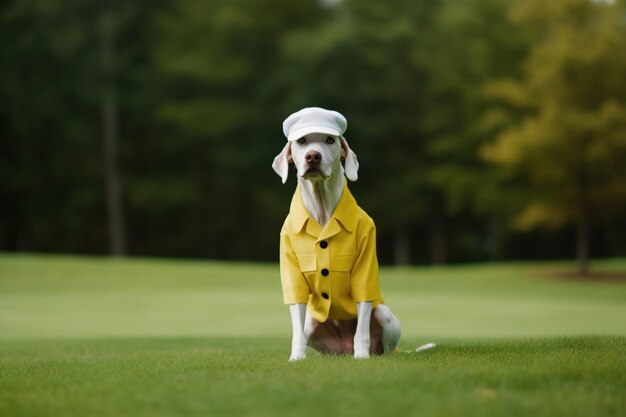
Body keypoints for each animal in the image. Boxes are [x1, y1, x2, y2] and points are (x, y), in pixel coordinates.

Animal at [270, 108, 398, 360]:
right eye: (301, 141)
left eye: (330, 140)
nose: (313, 157)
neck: (322, 209)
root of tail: (343, 348)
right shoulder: (292, 269)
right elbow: (296, 321)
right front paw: (296, 358)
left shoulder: (365, 265)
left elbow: (362, 321)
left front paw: (362, 355)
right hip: (313, 324)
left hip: (385, 314)